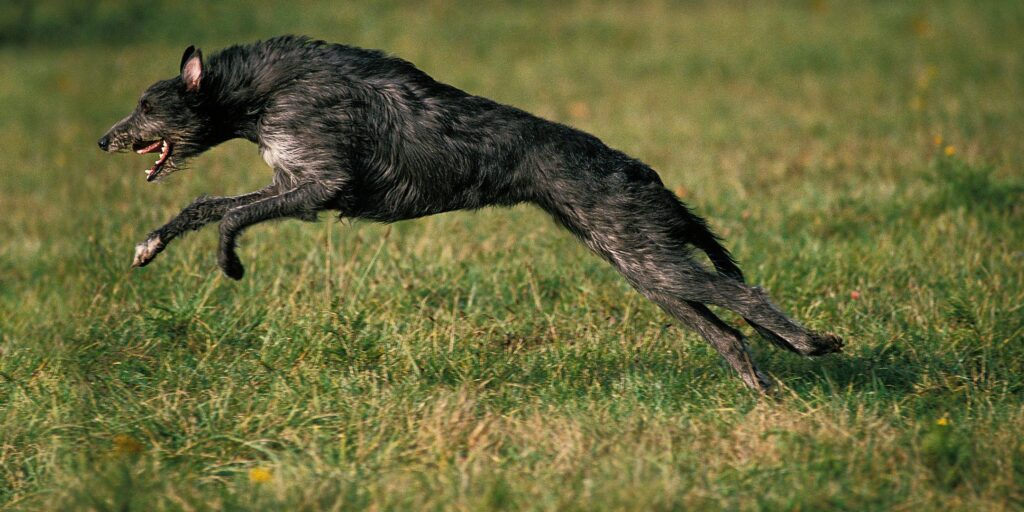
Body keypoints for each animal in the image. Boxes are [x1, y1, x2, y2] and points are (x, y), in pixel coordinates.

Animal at [99, 36, 843, 389]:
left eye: (146, 103)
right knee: (728, 333)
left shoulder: (316, 183)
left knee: (746, 294)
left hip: (649, 256)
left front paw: (229, 264)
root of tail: (641, 170)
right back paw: (764, 389)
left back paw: (813, 344)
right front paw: (150, 245)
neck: (259, 91)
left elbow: (226, 214)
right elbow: (203, 204)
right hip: (646, 270)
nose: (102, 140)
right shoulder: (294, 180)